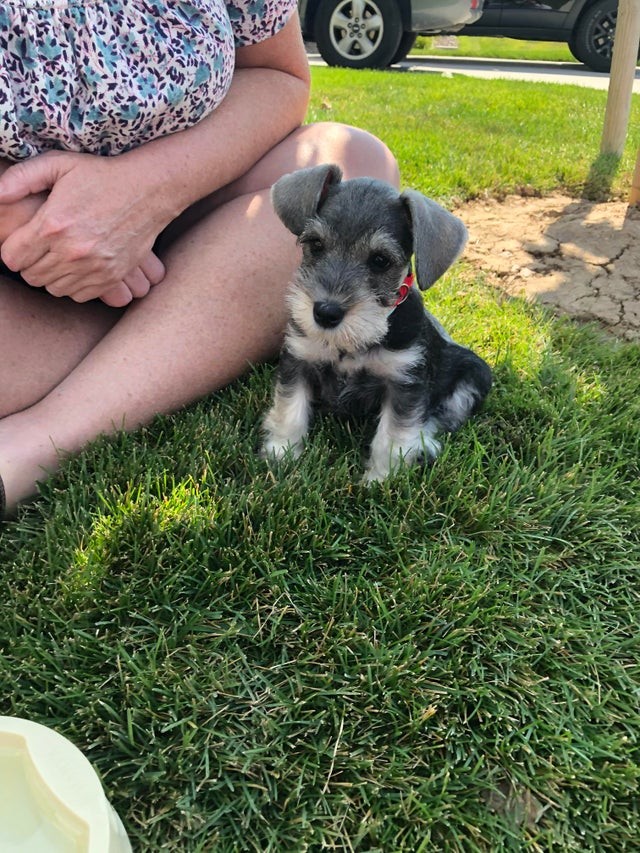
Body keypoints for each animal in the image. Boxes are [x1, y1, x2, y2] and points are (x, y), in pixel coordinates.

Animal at [262, 160, 492, 480]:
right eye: (316, 244)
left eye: (380, 260)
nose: (325, 313)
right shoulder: (299, 360)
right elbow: (289, 409)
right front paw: (280, 454)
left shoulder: (404, 383)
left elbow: (394, 435)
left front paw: (381, 479)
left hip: (474, 375)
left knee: (441, 417)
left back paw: (424, 445)